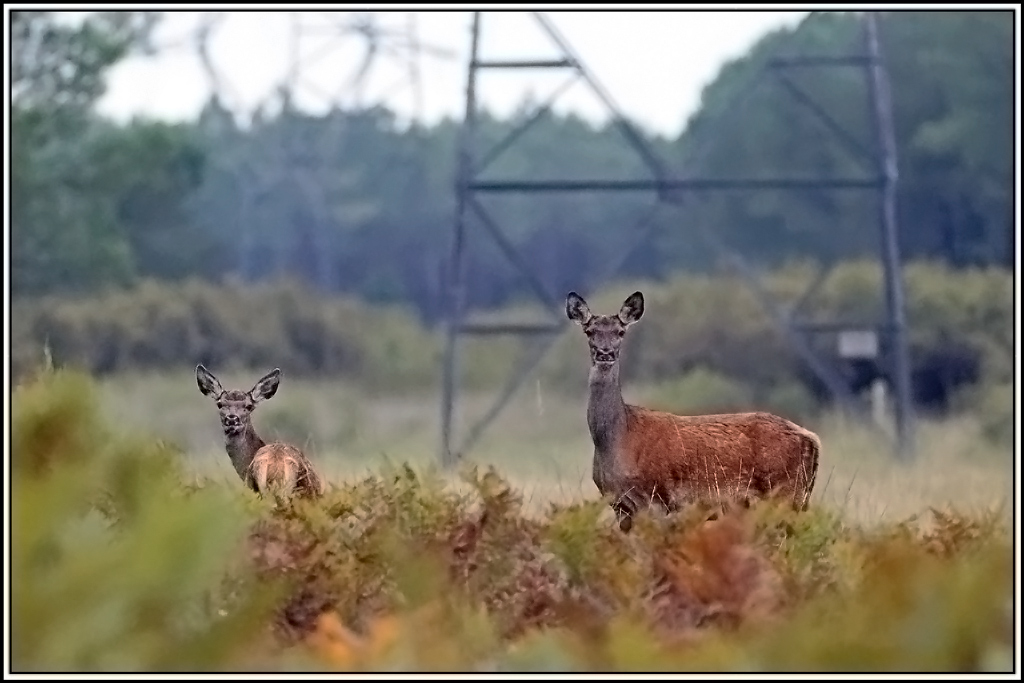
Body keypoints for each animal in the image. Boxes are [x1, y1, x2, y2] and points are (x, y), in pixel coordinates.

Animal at [565, 290, 820, 532]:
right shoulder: (619, 505)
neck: (619, 438)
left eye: (620, 332)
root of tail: (812, 440)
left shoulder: (656, 500)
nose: (605, 353)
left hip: (786, 491)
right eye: (589, 331)